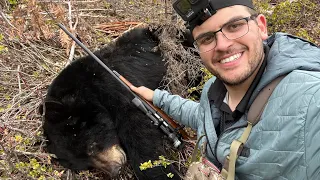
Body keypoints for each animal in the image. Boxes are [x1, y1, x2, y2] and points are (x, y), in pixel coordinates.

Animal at [42, 25, 198, 180]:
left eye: (91, 146)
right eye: (86, 165)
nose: (115, 169)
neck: (87, 90)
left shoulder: (113, 89)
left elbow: (140, 135)